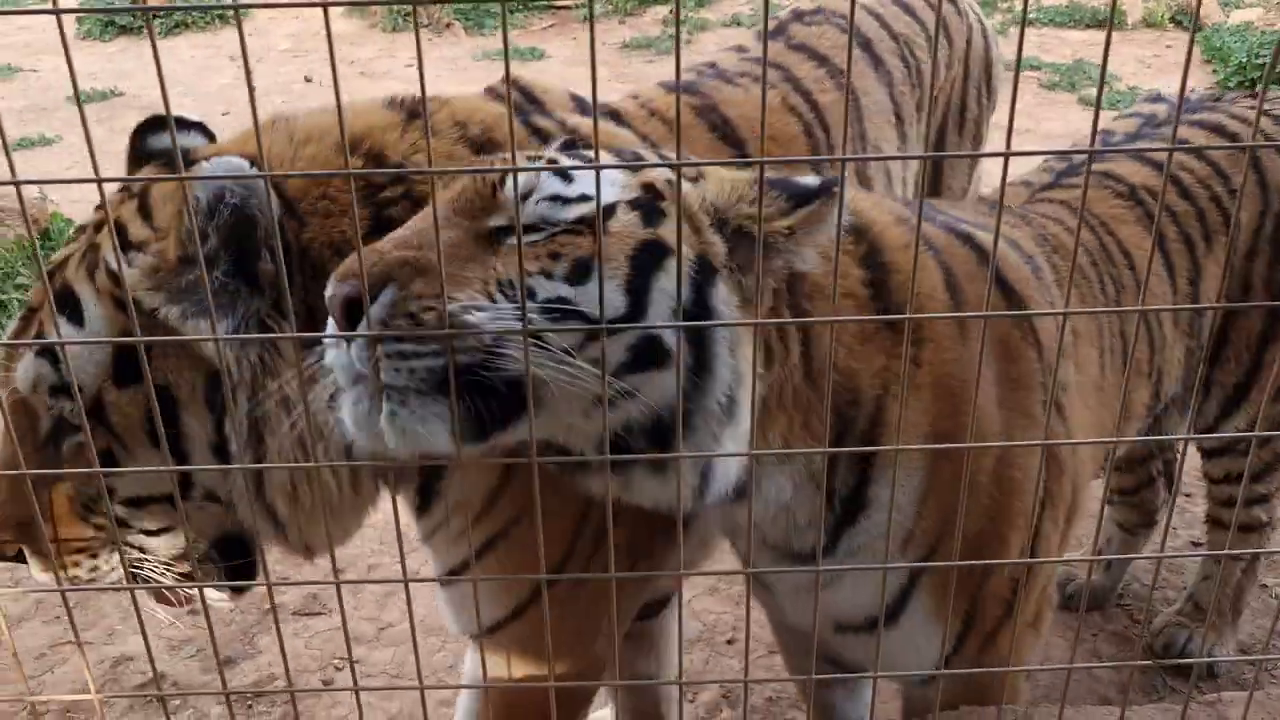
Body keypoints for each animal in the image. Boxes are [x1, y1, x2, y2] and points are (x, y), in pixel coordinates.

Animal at [316, 87, 1280, 717]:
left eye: (531, 227)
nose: (337, 299)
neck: (776, 484)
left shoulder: (978, 671)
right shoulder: (817, 645)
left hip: (1241, 404)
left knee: (1242, 522)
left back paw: (1197, 635)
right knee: (1147, 488)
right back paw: (1092, 583)